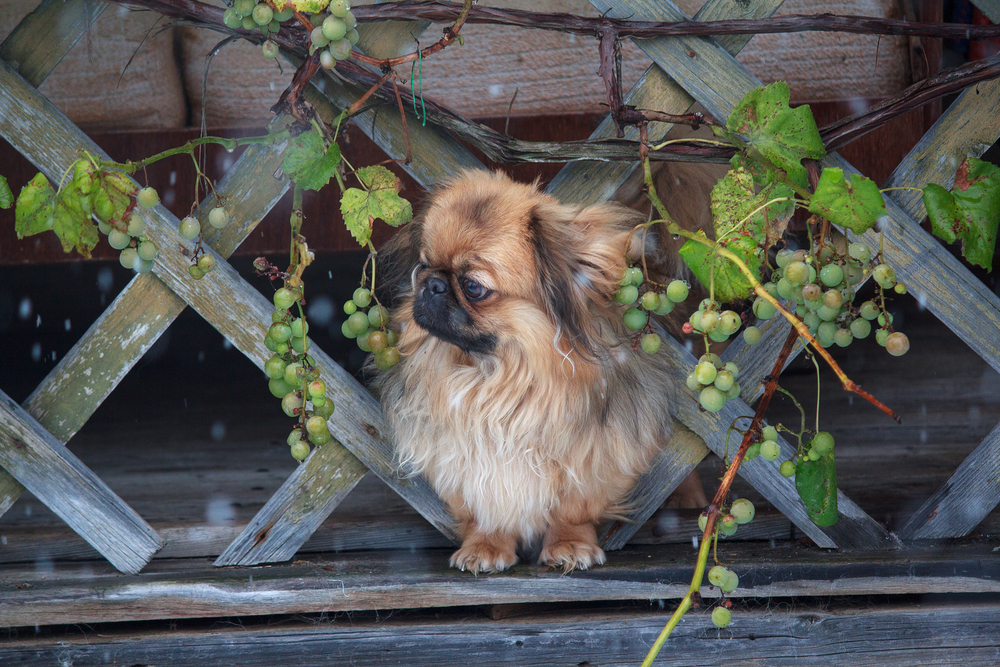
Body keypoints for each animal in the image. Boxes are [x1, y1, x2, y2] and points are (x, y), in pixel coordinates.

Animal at [374, 170, 704, 572]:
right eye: (422, 266)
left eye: (473, 287)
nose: (432, 285)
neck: (492, 377)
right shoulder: (462, 461)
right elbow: (485, 509)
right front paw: (485, 546)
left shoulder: (597, 458)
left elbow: (574, 509)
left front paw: (570, 545)